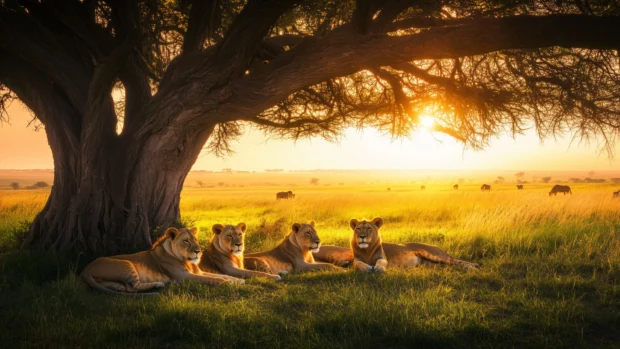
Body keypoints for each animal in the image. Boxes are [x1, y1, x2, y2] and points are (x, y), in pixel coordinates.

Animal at [81, 226, 245, 294]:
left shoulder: (199, 272)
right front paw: (227, 283)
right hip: (126, 264)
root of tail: (85, 269)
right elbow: (213, 279)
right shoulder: (184, 277)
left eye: (196, 240)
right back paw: (159, 284)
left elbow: (221, 274)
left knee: (127, 288)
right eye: (186, 241)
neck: (187, 261)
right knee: (133, 286)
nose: (198, 251)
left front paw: (236, 280)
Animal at [314, 218, 480, 272]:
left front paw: (378, 269)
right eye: (358, 229)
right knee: (450, 264)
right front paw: (367, 269)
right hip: (430, 264)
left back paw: (473, 267)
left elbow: (381, 263)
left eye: (368, 229)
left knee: (457, 261)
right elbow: (359, 265)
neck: (367, 250)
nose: (362, 237)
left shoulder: (382, 258)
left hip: (434, 254)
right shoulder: (357, 260)